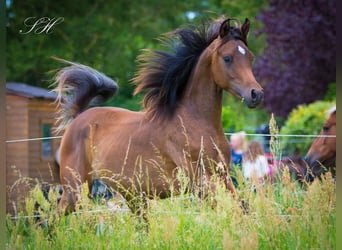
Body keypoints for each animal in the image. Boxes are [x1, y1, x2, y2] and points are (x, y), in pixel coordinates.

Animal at [53, 16, 264, 214]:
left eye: (251, 57)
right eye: (227, 58)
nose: (256, 94)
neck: (194, 121)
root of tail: (79, 117)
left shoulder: (223, 176)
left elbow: (243, 208)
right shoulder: (202, 181)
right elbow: (234, 211)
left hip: (133, 197)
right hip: (75, 189)